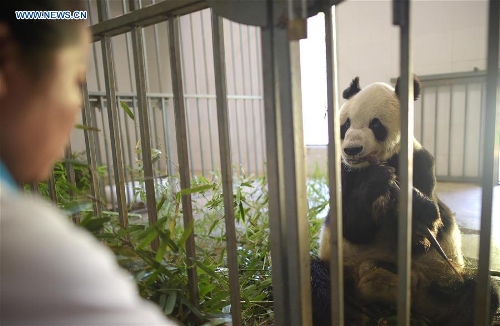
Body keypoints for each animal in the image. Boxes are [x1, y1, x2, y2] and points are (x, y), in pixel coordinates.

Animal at [310, 77, 498, 326]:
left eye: (375, 125)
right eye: (346, 125)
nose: (352, 149)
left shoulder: (421, 162)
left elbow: (426, 230)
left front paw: (417, 212)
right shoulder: (344, 171)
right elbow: (352, 226)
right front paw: (377, 180)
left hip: (436, 281)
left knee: (478, 291)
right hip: (342, 272)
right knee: (316, 281)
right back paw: (357, 316)